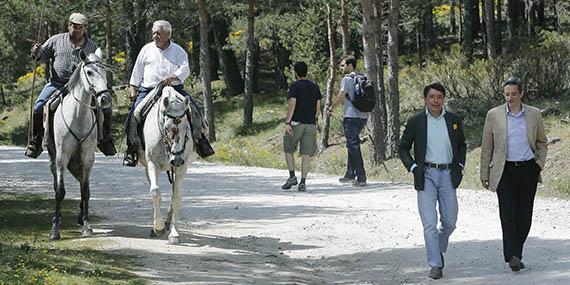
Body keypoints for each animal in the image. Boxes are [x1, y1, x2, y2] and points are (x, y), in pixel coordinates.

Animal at [46, 51, 111, 240]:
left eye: (105, 72)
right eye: (89, 72)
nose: (105, 98)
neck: (77, 116)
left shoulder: (87, 156)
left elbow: (85, 190)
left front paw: (87, 225)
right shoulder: (62, 155)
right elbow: (60, 191)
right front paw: (55, 229)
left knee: (81, 180)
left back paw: (81, 217)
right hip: (54, 157)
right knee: (56, 182)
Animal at [136, 85, 195, 243]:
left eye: (187, 126)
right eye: (167, 127)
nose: (177, 159)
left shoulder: (181, 168)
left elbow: (176, 198)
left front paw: (174, 233)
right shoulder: (152, 164)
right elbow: (155, 192)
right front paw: (158, 227)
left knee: (174, 190)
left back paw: (168, 222)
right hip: (148, 167)